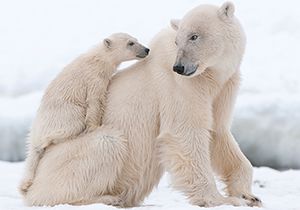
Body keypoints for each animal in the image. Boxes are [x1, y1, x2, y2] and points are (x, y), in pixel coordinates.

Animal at [19, 32, 150, 195]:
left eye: (136, 40)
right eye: (130, 43)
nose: (146, 49)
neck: (98, 59)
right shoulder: (94, 78)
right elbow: (94, 101)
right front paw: (95, 127)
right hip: (64, 114)